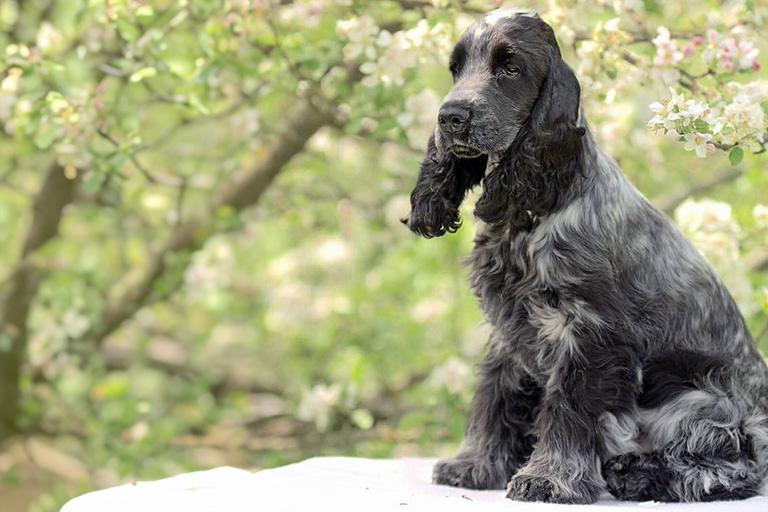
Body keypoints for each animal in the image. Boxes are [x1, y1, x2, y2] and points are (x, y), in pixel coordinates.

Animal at [402, 8, 768, 504]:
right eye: (456, 69)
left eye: (510, 68)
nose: (450, 117)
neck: (529, 213)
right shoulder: (510, 329)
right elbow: (495, 397)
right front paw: (475, 465)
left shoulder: (590, 334)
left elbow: (568, 411)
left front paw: (548, 478)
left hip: (700, 399)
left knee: (728, 464)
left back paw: (641, 475)